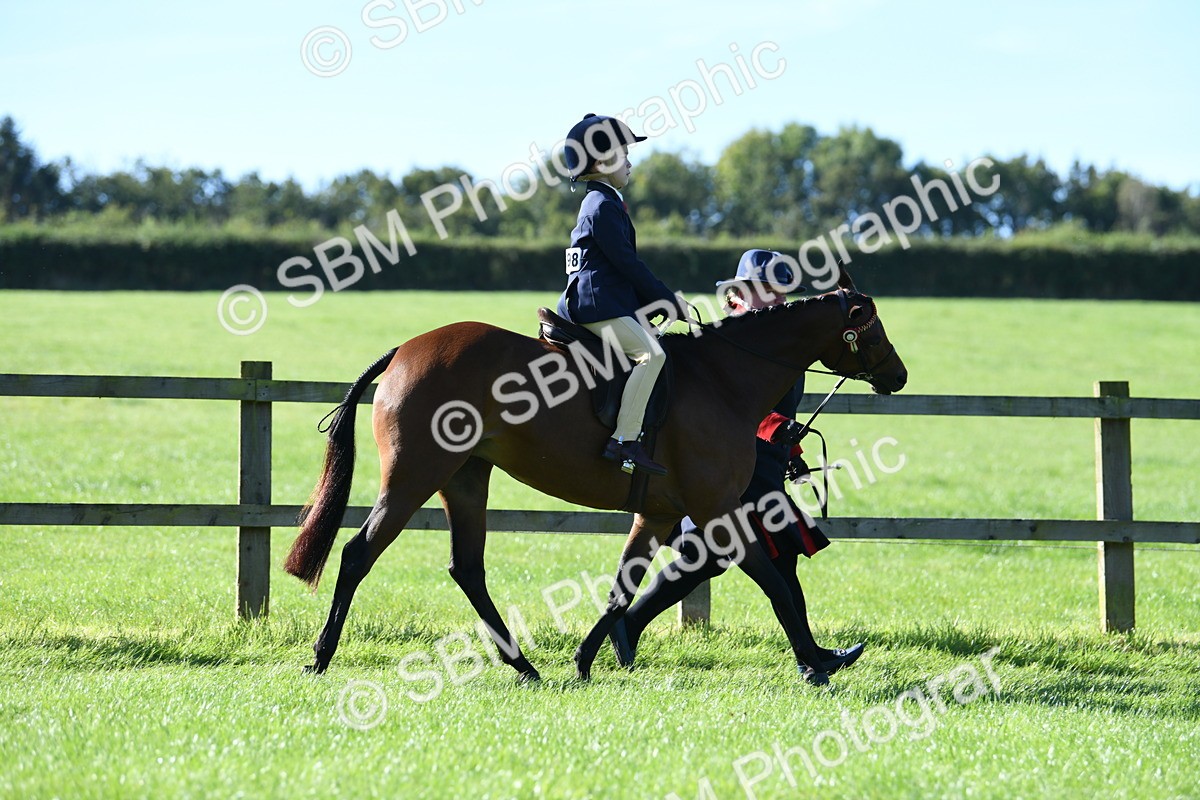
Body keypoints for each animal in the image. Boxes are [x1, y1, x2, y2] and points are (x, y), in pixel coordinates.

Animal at [284, 268, 907, 685]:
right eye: (874, 327)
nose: (899, 376)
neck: (723, 377)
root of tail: (404, 350)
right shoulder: (719, 511)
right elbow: (776, 584)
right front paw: (814, 663)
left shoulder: (658, 512)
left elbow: (622, 587)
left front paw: (587, 660)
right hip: (415, 475)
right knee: (358, 555)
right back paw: (320, 656)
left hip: (465, 477)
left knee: (468, 569)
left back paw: (525, 666)